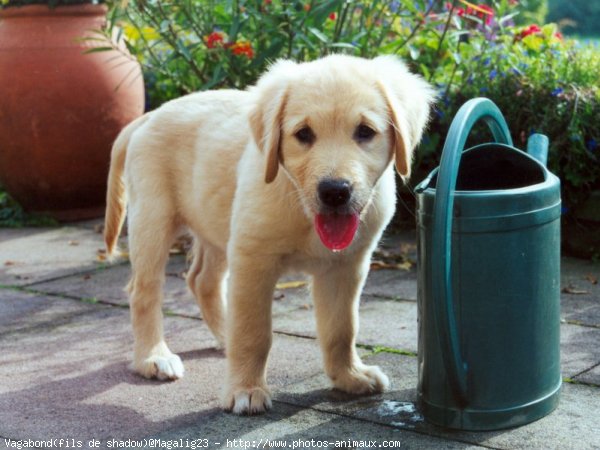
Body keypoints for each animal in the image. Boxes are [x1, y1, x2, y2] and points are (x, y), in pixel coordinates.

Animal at [102, 55, 432, 414]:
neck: (302, 208)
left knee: (202, 281)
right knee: (143, 291)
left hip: (217, 226)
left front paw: (349, 376)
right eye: (303, 134)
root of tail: (150, 116)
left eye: (365, 132)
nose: (335, 191)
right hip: (153, 219)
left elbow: (341, 329)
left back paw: (224, 337)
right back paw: (154, 357)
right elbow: (254, 332)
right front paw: (245, 389)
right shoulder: (252, 259)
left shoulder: (346, 266)